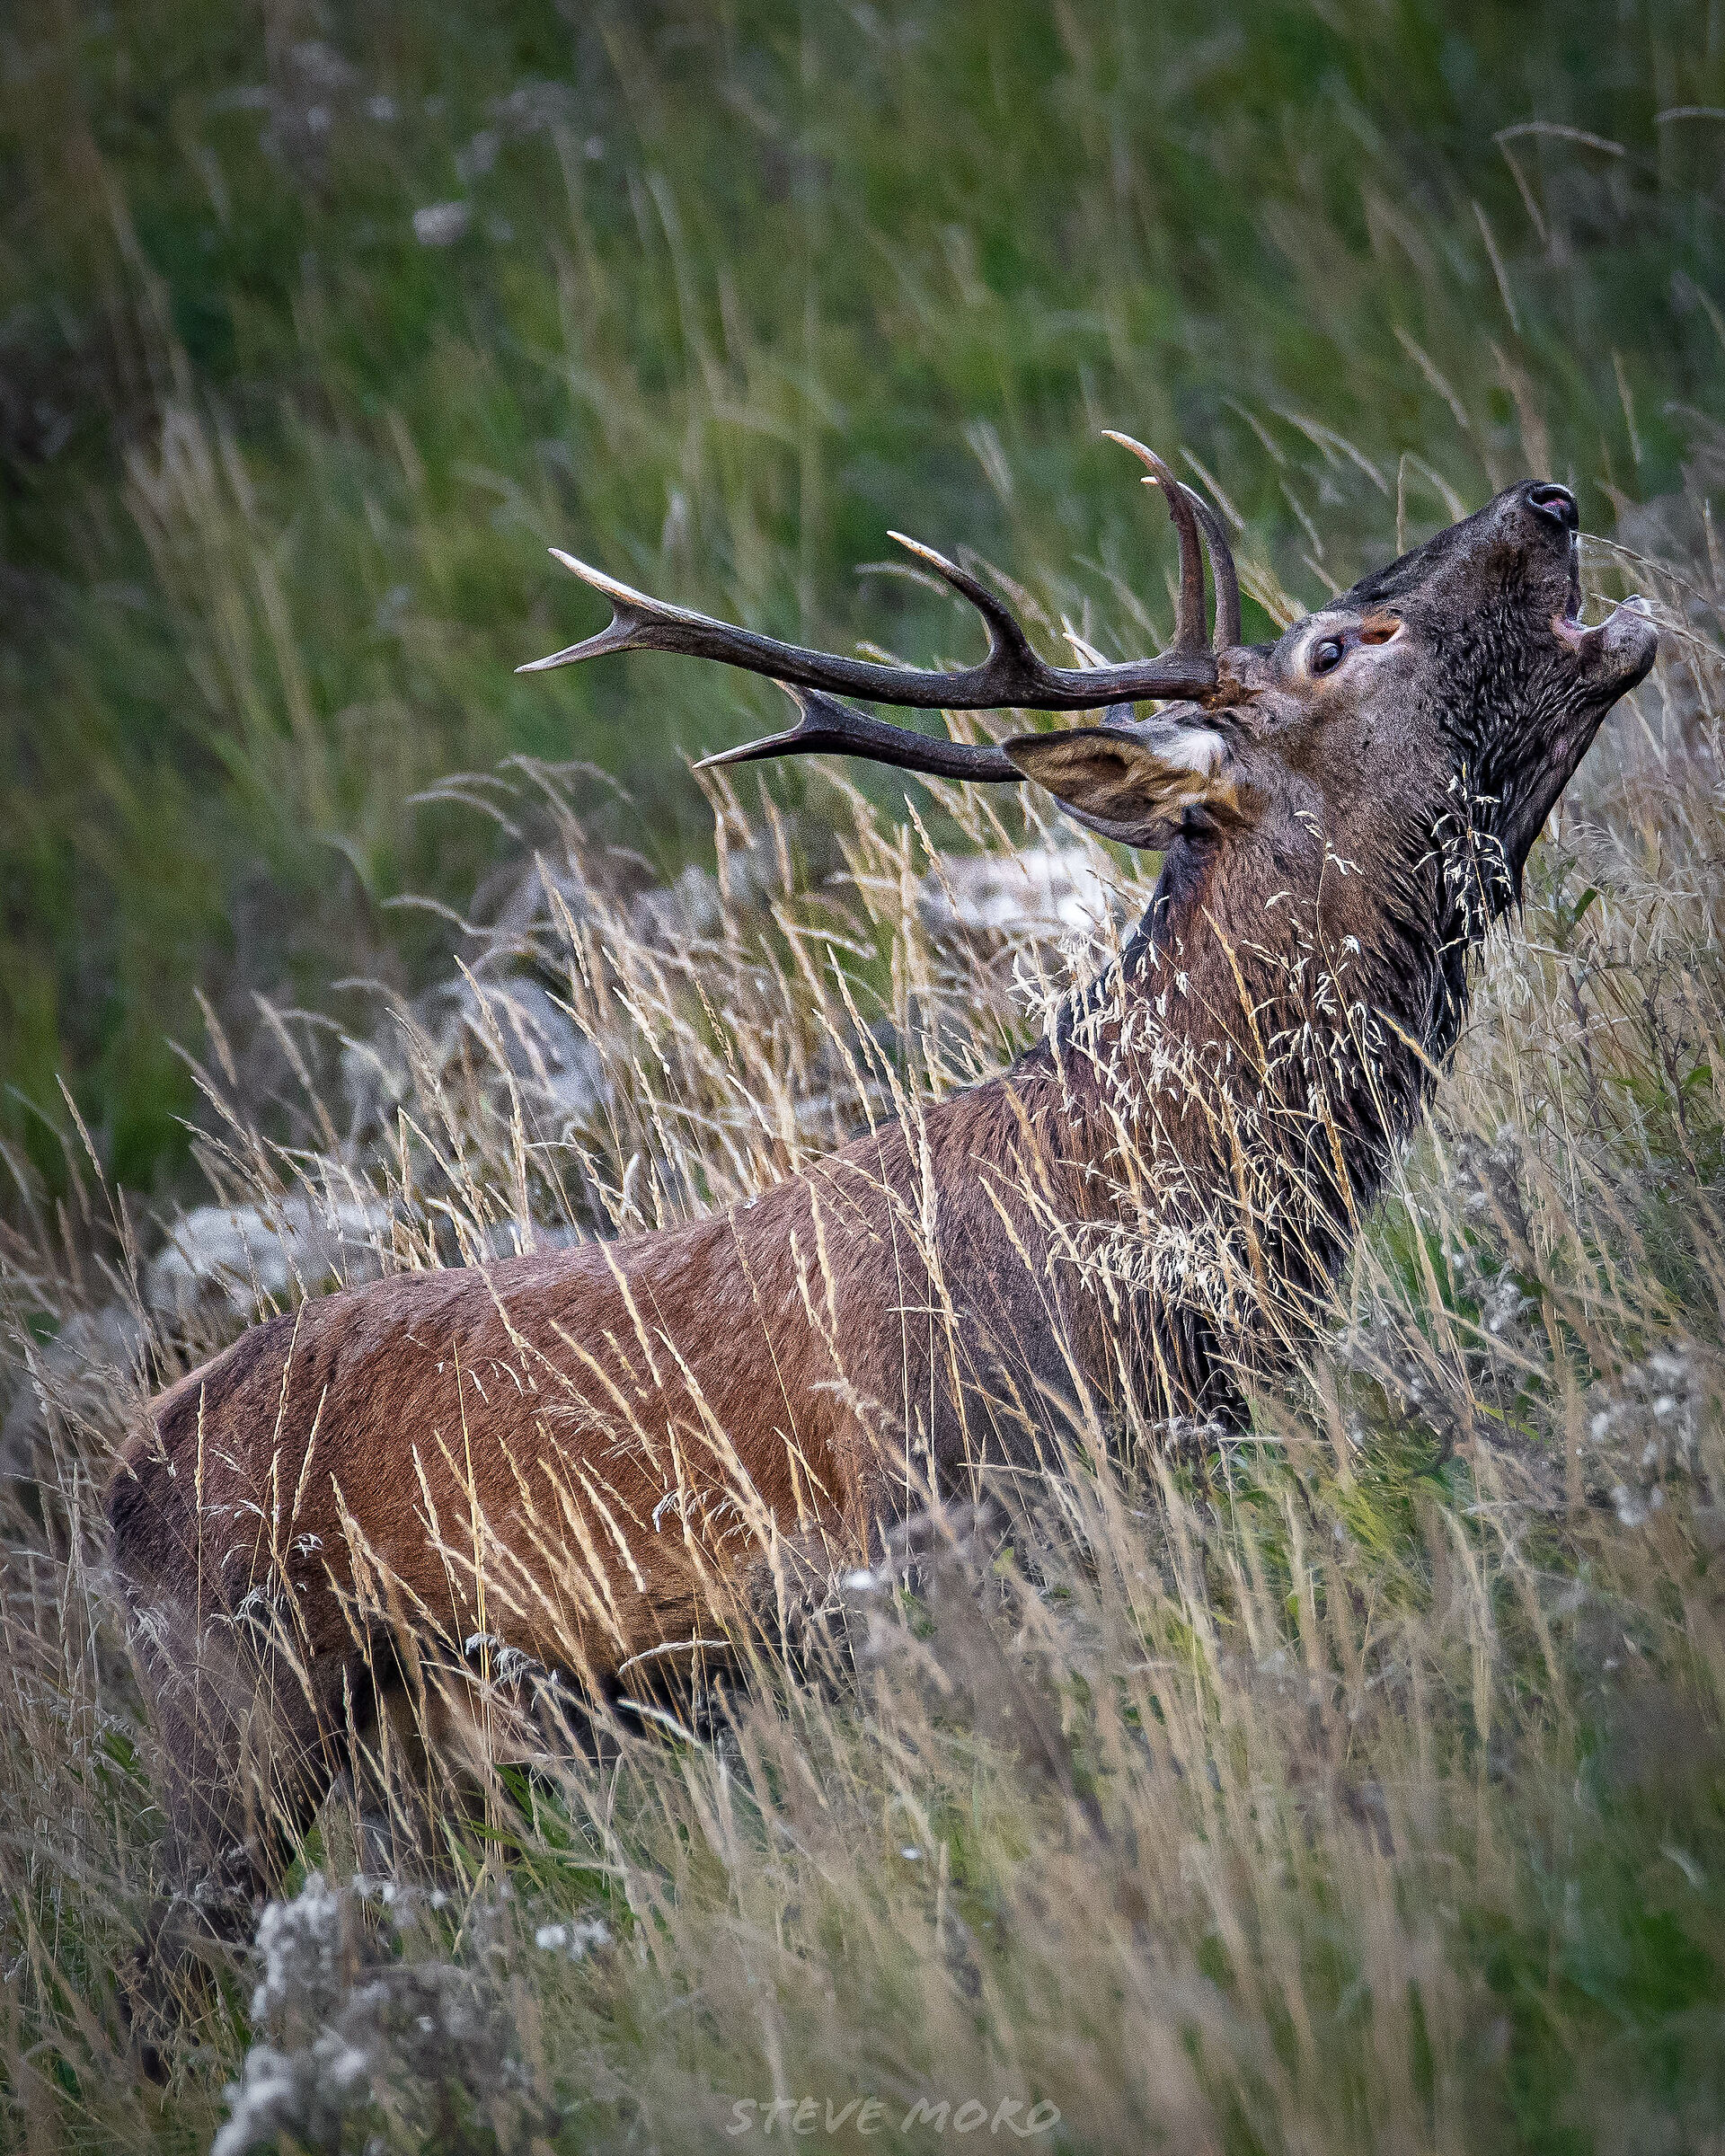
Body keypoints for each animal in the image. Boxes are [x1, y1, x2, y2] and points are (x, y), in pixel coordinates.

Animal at [106, 437, 1655, 1934]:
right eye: (1339, 644)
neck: (1167, 1225)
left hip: (428, 1755)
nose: (1546, 496)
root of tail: (121, 1476)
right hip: (238, 1710)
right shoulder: (953, 1534)